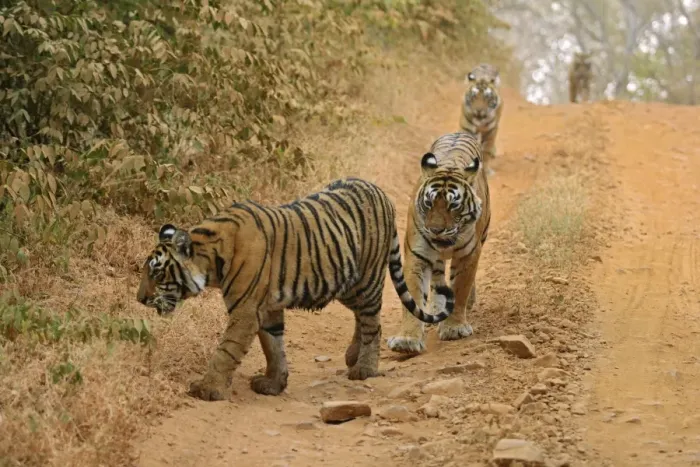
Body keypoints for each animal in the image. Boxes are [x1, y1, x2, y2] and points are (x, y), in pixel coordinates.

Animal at [136, 177, 456, 401]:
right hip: (347, 284)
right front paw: (274, 383)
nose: (140, 299)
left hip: (366, 281)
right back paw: (353, 355)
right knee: (363, 319)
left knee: (372, 324)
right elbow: (273, 346)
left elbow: (226, 351)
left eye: (156, 271)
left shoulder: (245, 312)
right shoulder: (267, 308)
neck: (211, 259)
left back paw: (364, 368)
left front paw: (207, 388)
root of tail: (382, 194)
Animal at [387, 132, 490, 355]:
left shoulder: (468, 254)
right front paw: (407, 339)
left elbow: (460, 288)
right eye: (428, 203)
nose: (435, 230)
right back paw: (436, 308)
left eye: (453, 205)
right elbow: (414, 296)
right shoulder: (417, 256)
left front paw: (454, 328)